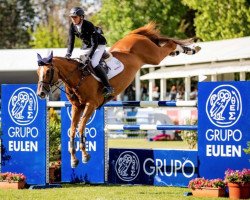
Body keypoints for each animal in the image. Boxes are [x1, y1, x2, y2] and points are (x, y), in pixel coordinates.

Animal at [36, 22, 201, 168]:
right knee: (169, 47)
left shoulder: (91, 105)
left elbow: (81, 127)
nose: (41, 93)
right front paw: (73, 160)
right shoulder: (77, 107)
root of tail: (133, 35)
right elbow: (72, 130)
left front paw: (85, 155)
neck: (77, 76)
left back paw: (192, 49)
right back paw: (187, 50)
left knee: (169, 45)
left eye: (48, 71)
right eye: (38, 72)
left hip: (153, 56)